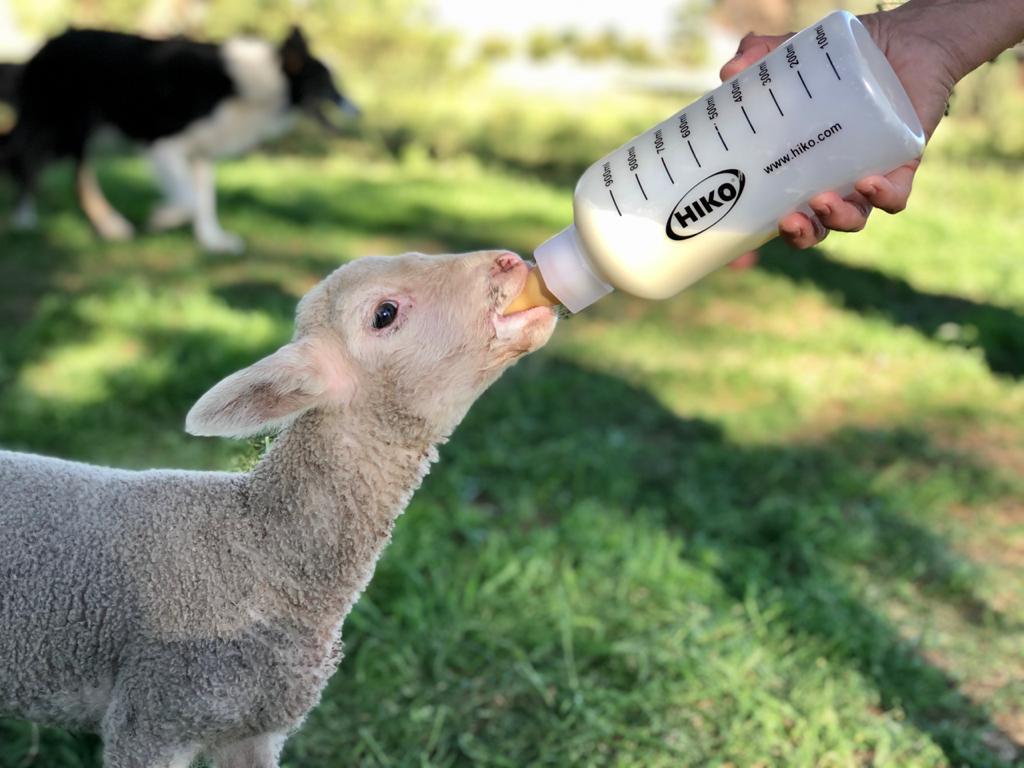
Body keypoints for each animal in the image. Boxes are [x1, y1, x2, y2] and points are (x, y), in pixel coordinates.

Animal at [0, 26, 360, 252]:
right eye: (327, 84)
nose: (358, 109)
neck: (263, 84)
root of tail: (43, 47)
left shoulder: (201, 152)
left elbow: (204, 201)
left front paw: (213, 241)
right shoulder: (164, 144)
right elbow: (187, 199)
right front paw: (163, 217)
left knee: (78, 177)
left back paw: (110, 226)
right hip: (60, 128)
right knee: (27, 162)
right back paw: (24, 220)